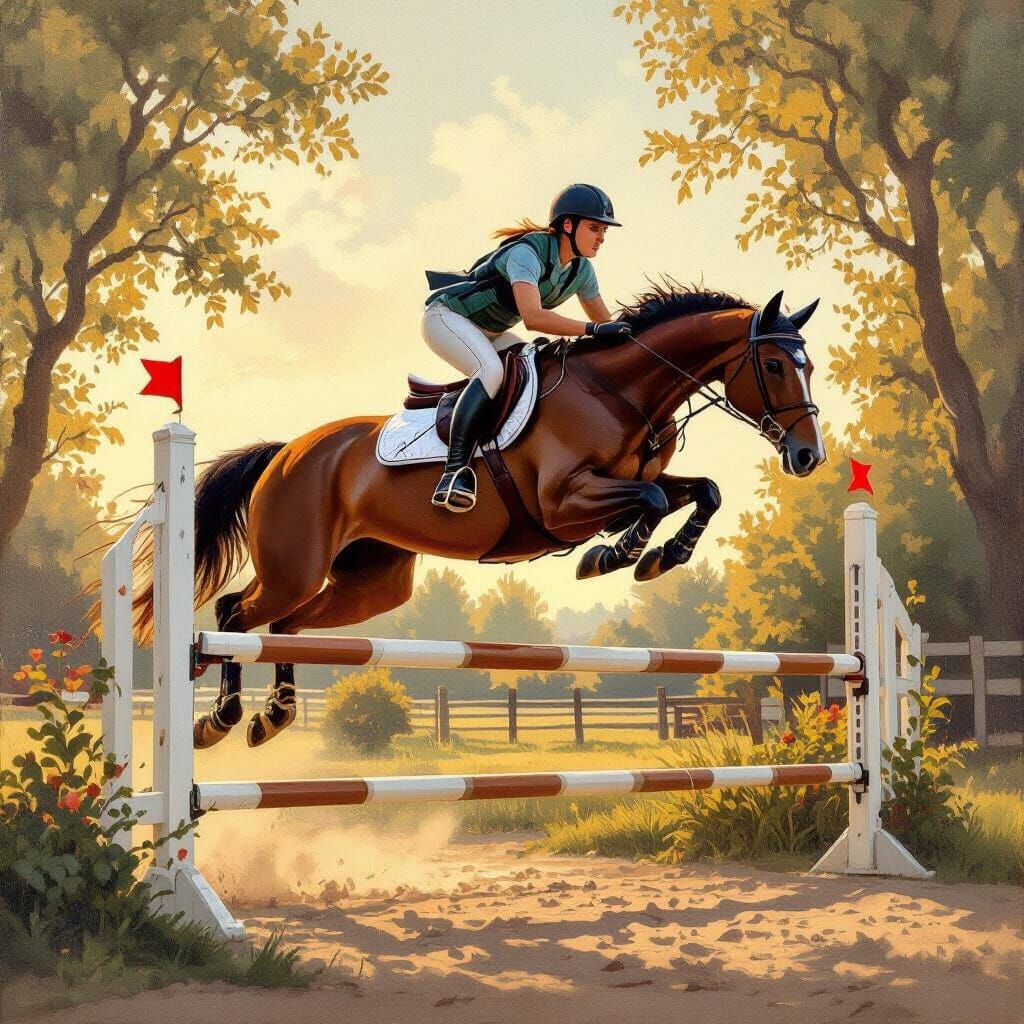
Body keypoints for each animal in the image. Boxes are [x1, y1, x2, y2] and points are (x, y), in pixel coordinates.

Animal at [129, 284, 826, 748]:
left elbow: (702, 490)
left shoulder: (636, 481)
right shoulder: (565, 503)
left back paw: (273, 716)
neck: (618, 392)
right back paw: (218, 721)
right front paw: (614, 555)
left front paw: (661, 557)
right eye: (772, 364)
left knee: (285, 627)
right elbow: (651, 503)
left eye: (809, 364)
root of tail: (288, 452)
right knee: (235, 614)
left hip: (371, 584)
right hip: (293, 564)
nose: (808, 456)